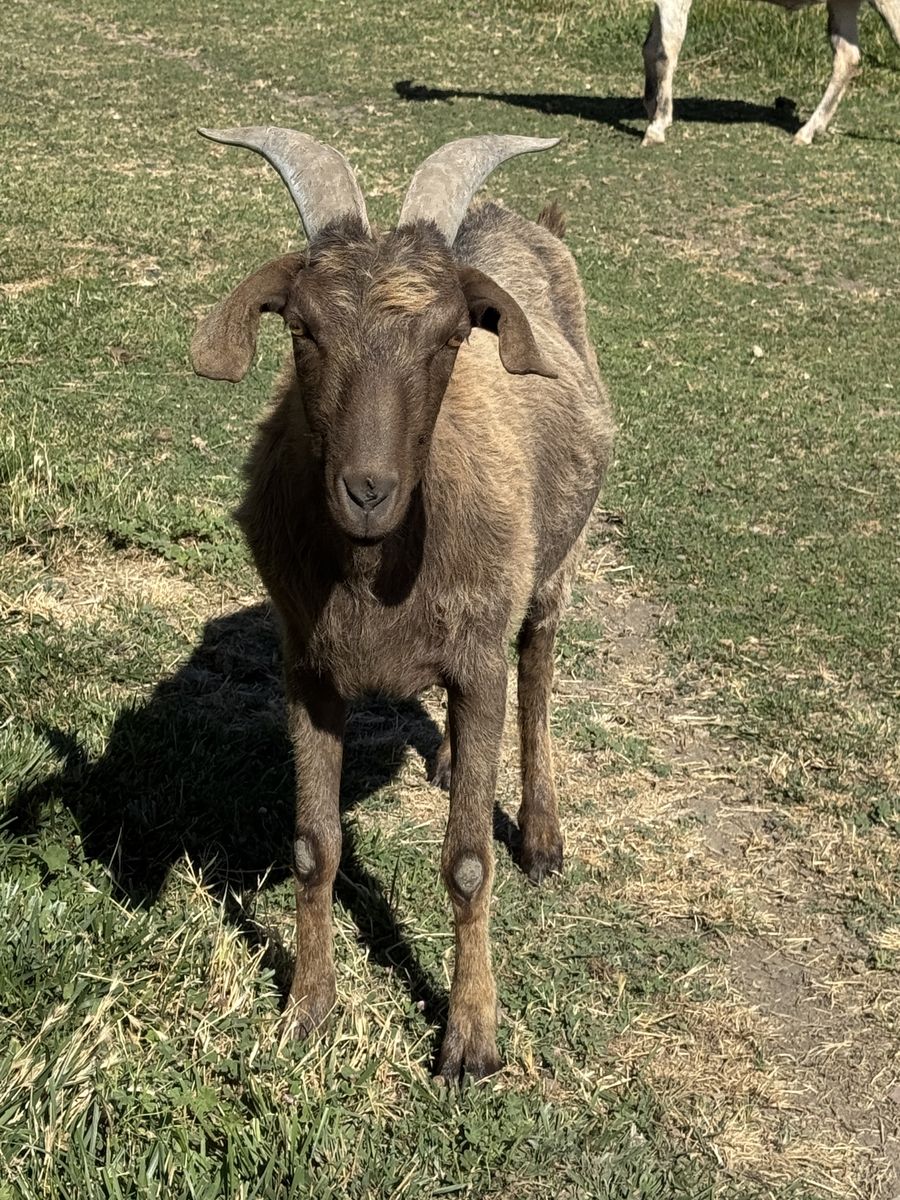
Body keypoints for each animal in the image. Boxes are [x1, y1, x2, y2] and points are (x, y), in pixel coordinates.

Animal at [190, 126, 612, 1081]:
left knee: (539, 669)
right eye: (301, 327)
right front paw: (308, 1008)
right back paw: (457, 762)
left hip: (553, 571)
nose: (368, 490)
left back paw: (542, 836)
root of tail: (527, 220)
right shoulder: (307, 668)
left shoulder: (480, 655)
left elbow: (467, 861)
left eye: (454, 334)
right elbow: (314, 846)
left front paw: (471, 1040)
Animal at [642, 0, 900, 145]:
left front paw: (657, 126)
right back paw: (809, 131)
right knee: (847, 58)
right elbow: (650, 47)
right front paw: (651, 106)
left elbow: (665, 53)